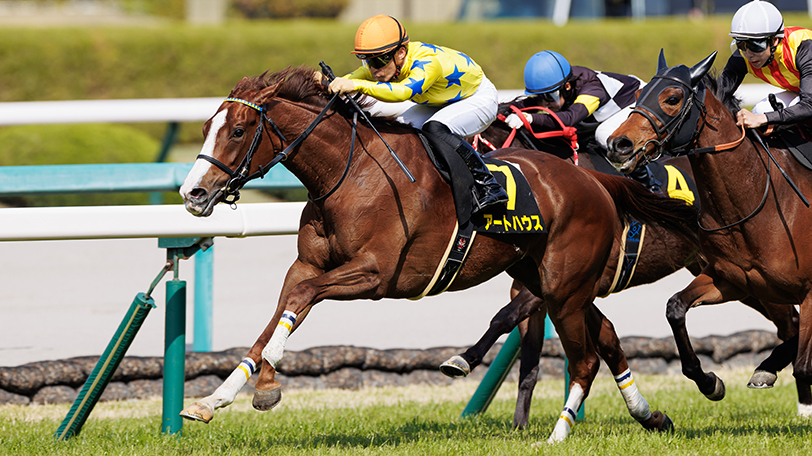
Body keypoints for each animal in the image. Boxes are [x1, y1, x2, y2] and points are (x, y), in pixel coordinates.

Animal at [174, 66, 688, 440]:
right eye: (206, 127)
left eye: (238, 130)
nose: (192, 194)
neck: (351, 173)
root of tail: (594, 178)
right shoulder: (306, 265)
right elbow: (277, 317)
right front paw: (214, 399)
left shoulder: (375, 275)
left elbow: (300, 302)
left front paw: (267, 384)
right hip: (552, 280)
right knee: (608, 337)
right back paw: (651, 416)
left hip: (564, 287)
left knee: (586, 357)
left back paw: (560, 434)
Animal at [472, 108, 804, 428]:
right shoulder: (536, 284)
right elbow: (526, 353)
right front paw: (520, 423)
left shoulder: (558, 282)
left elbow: (506, 317)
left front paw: (467, 359)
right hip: (727, 275)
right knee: (790, 321)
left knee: (790, 321)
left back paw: (801, 402)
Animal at [604, 51, 812, 418]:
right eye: (639, 95)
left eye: (672, 98)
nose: (618, 144)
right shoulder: (731, 280)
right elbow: (675, 307)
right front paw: (710, 381)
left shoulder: (810, 291)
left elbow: (803, 363)